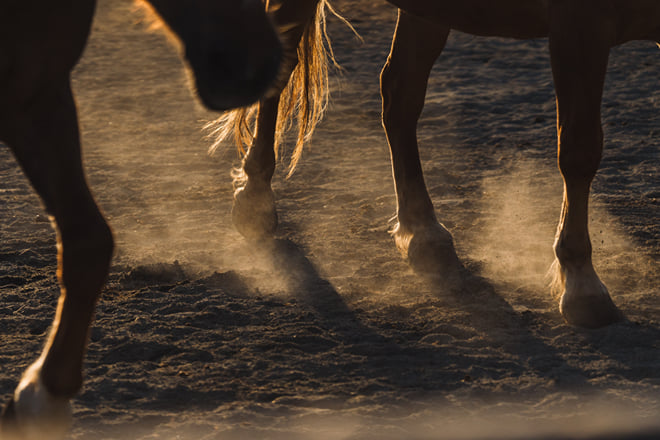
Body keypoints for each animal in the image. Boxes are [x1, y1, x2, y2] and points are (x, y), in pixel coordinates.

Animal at [210, 0, 660, 330]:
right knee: (280, 67)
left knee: (400, 95)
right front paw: (581, 284)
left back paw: (423, 232)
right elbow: (580, 150)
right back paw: (254, 200)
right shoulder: (580, 26)